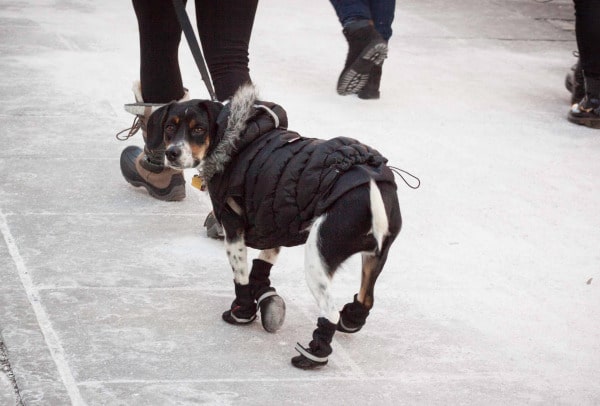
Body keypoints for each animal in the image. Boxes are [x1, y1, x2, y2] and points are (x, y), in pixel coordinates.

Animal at [144, 84, 398, 370]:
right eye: (169, 127)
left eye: (198, 128)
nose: (172, 153)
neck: (234, 140)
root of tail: (373, 189)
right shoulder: (276, 217)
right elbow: (263, 263)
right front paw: (264, 295)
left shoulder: (233, 227)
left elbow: (241, 276)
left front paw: (242, 311)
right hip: (375, 257)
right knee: (366, 299)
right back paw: (349, 319)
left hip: (318, 258)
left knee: (329, 310)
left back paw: (313, 355)